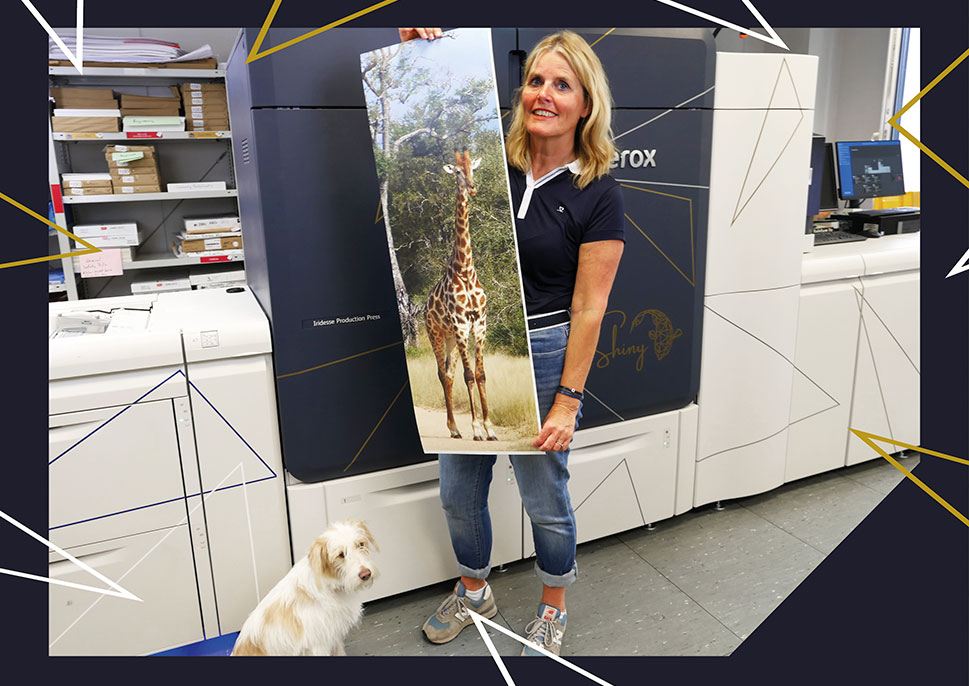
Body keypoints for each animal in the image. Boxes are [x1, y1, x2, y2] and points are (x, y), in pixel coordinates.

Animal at [229, 520, 376, 660]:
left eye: (361, 545)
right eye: (341, 555)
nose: (366, 574)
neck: (330, 585)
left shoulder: (334, 636)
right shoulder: (319, 644)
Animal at [426, 148, 500, 444]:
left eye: (473, 168)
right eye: (457, 171)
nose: (473, 187)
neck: (465, 269)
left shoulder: (479, 324)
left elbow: (481, 374)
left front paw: (490, 428)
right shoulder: (461, 325)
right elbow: (469, 376)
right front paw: (477, 429)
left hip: (450, 339)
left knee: (449, 373)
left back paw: (456, 428)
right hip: (437, 334)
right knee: (442, 375)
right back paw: (455, 428)